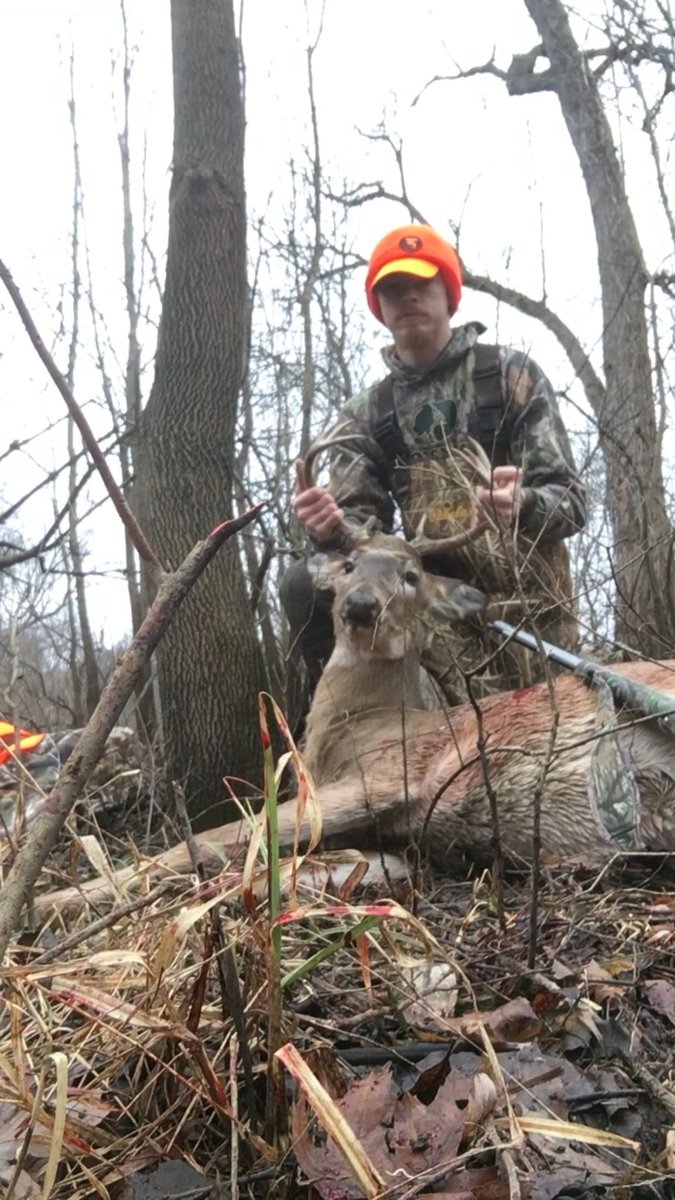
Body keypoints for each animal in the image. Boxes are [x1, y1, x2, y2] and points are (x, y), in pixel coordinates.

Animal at [34, 441, 675, 914]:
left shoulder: (387, 774)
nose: (362, 606)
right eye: (347, 565)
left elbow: (217, 837)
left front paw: (49, 902)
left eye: (411, 575)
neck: (348, 728)